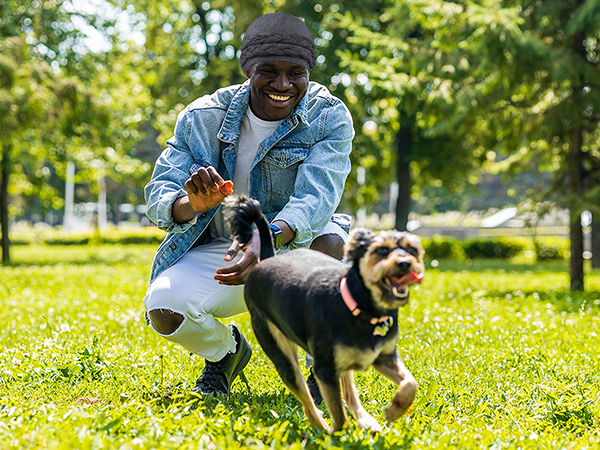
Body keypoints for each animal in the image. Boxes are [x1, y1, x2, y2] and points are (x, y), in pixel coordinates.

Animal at [226, 196, 426, 432]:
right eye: (381, 251)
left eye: (413, 250)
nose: (405, 263)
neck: (359, 306)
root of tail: (266, 260)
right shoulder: (325, 370)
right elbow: (338, 415)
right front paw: (339, 434)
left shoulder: (384, 357)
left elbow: (410, 383)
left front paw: (395, 410)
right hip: (281, 354)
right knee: (306, 400)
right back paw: (321, 428)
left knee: (348, 391)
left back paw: (364, 420)